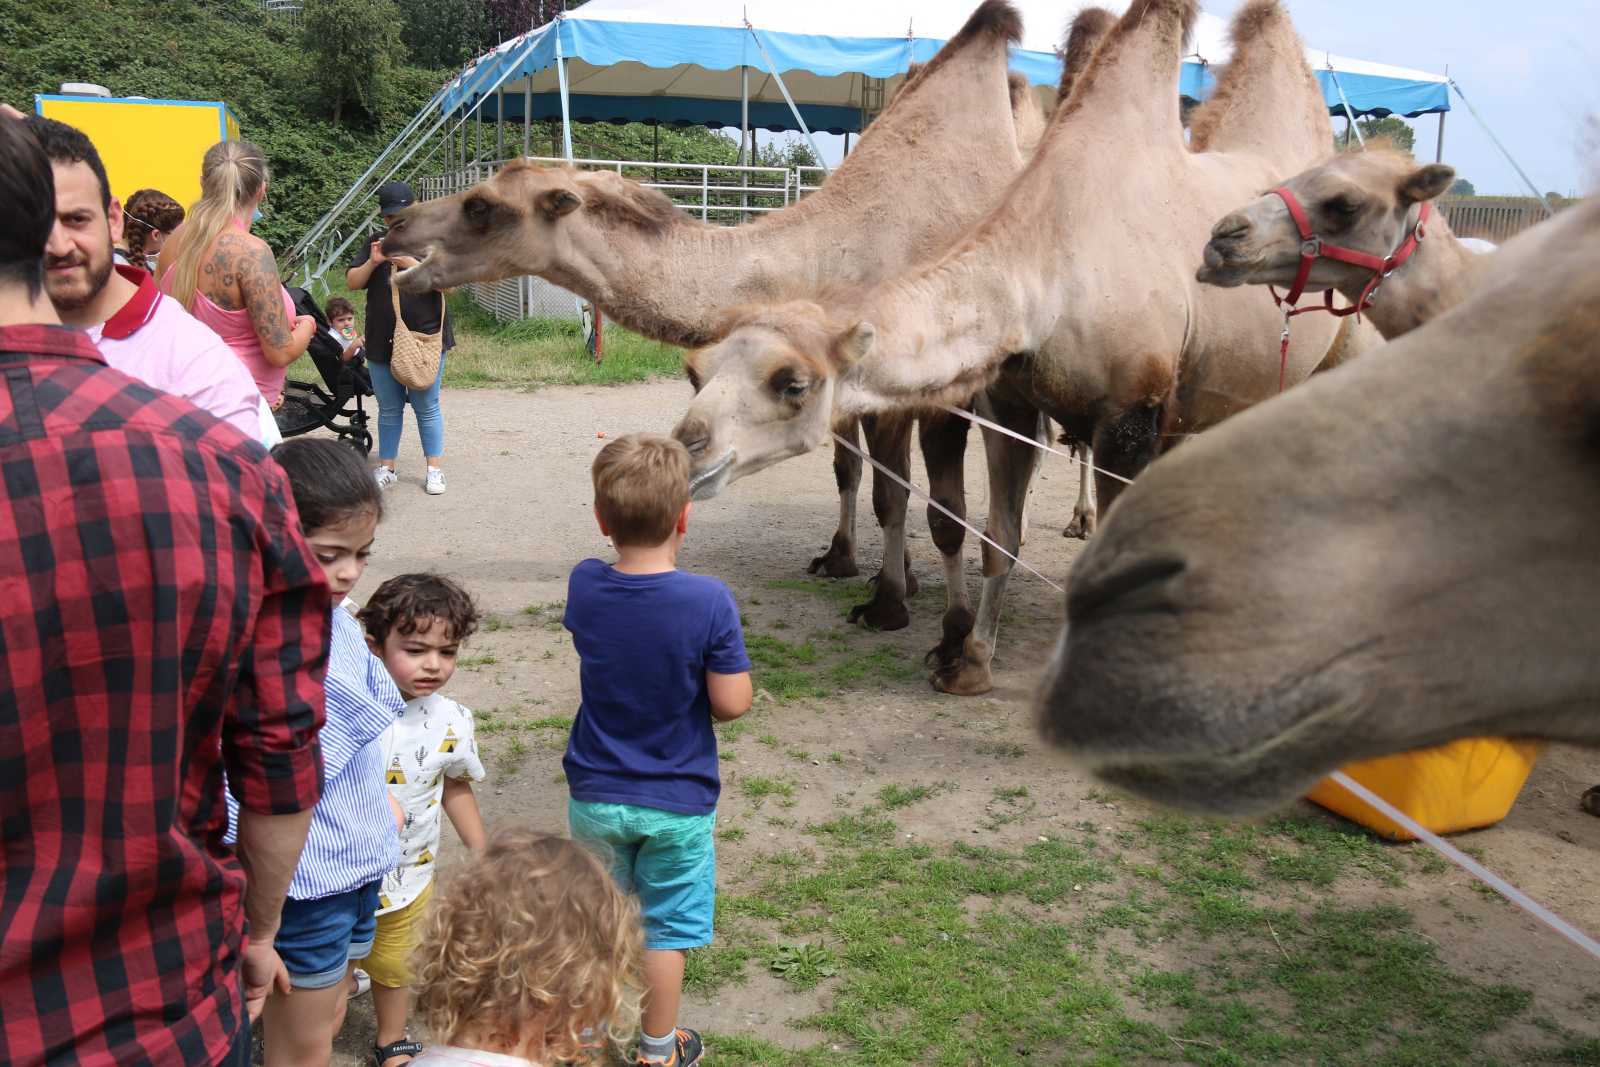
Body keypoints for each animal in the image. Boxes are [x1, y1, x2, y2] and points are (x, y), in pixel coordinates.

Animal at [384, 1, 1042, 633]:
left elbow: (911, 500)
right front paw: (851, 564)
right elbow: (854, 474)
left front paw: (893, 608)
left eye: (481, 206)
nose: (395, 225)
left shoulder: (934, 387)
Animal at [671, 0, 1365, 694]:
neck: (1046, 270)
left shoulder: (1129, 410)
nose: (686, 449)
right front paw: (968, 659)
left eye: (791, 382)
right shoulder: (1011, 399)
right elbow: (991, 532)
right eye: (696, 370)